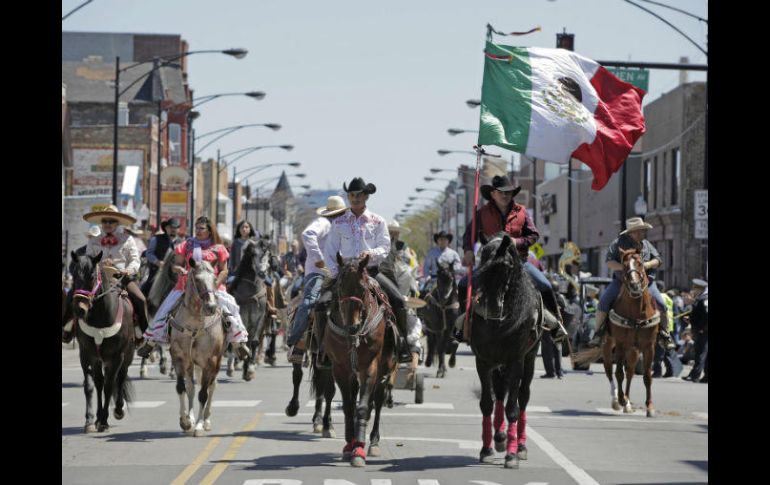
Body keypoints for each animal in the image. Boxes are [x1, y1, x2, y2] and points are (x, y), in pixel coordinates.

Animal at [69, 251, 135, 432]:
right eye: (74, 275)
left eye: (92, 276)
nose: (79, 309)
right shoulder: (89, 355)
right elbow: (95, 384)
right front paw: (95, 419)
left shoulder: (116, 356)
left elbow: (109, 385)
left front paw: (104, 419)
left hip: (127, 355)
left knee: (121, 377)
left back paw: (118, 409)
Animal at [226, 240, 268, 380]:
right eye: (253, 254)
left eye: (266, 252)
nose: (262, 273)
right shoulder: (242, 317)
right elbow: (241, 340)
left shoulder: (259, 318)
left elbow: (253, 342)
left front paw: (249, 370)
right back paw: (231, 367)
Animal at [324, 253, 396, 466]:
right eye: (340, 287)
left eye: (363, 289)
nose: (353, 326)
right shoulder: (340, 369)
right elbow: (349, 407)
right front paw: (350, 444)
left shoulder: (369, 367)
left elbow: (363, 407)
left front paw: (359, 449)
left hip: (385, 369)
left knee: (377, 402)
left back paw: (373, 442)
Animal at [468, 234, 544, 468]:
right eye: (483, 259)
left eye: (508, 266)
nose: (492, 306)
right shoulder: (483, 361)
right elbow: (487, 404)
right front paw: (487, 448)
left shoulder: (515, 361)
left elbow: (513, 408)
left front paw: (511, 454)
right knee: (500, 393)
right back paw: (500, 437)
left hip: (529, 361)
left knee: (523, 398)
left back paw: (520, 446)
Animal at [600, 248, 660, 418]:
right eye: (625, 265)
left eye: (640, 263)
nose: (634, 286)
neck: (637, 312)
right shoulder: (620, 344)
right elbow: (618, 373)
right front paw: (621, 399)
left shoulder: (649, 346)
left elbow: (647, 376)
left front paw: (650, 407)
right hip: (609, 345)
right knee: (609, 370)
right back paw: (617, 400)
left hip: (633, 350)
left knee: (631, 372)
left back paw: (627, 403)